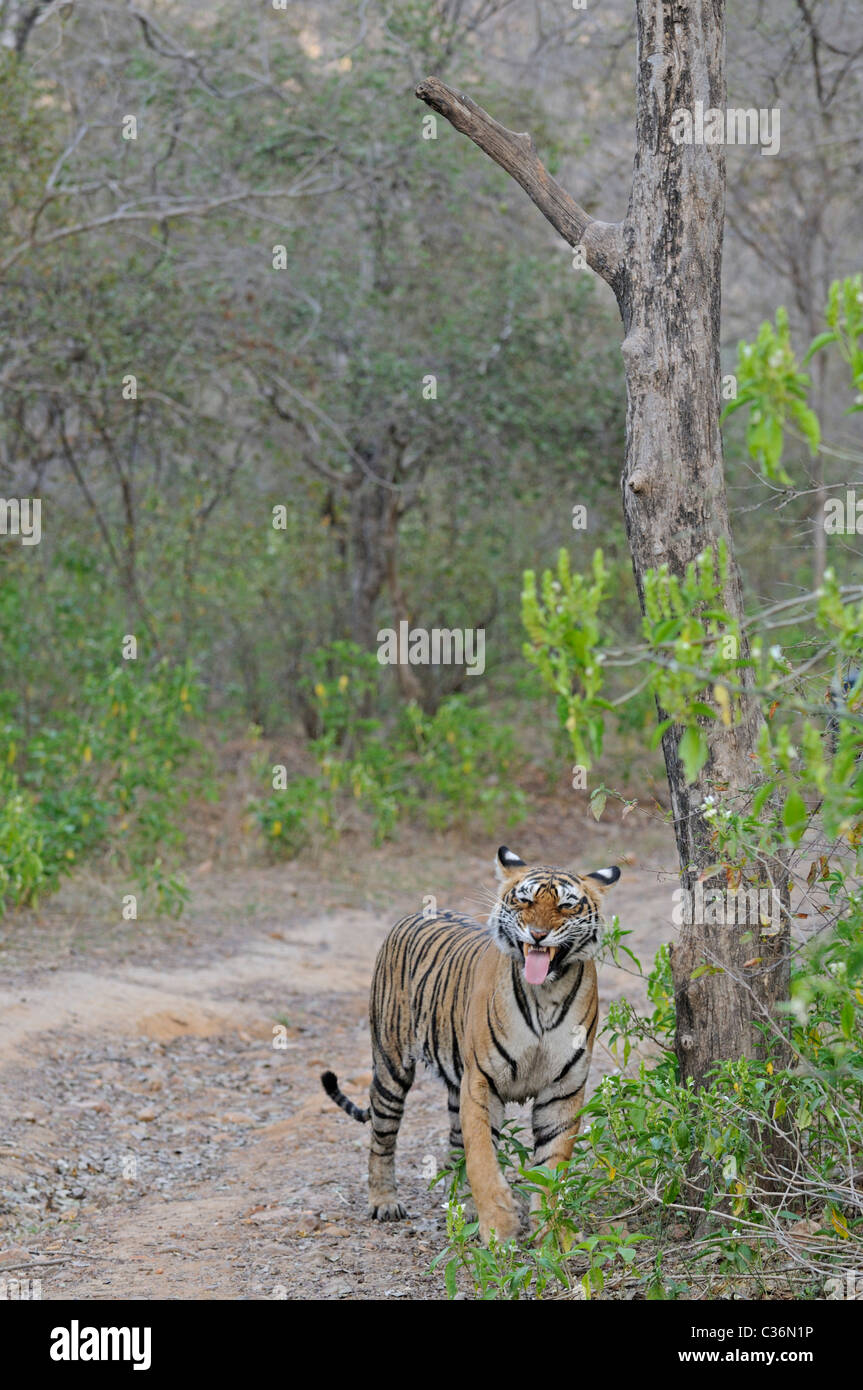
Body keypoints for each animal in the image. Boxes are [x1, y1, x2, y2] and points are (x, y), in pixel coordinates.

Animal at [319, 845, 617, 1251]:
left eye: (566, 906)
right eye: (524, 900)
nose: (538, 935)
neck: (545, 992)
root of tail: (416, 913)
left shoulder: (563, 1089)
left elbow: (552, 1166)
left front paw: (552, 1236)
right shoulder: (482, 1082)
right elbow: (482, 1158)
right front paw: (500, 1227)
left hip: (451, 1079)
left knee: (453, 1146)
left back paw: (463, 1208)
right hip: (391, 1066)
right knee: (382, 1137)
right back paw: (384, 1202)